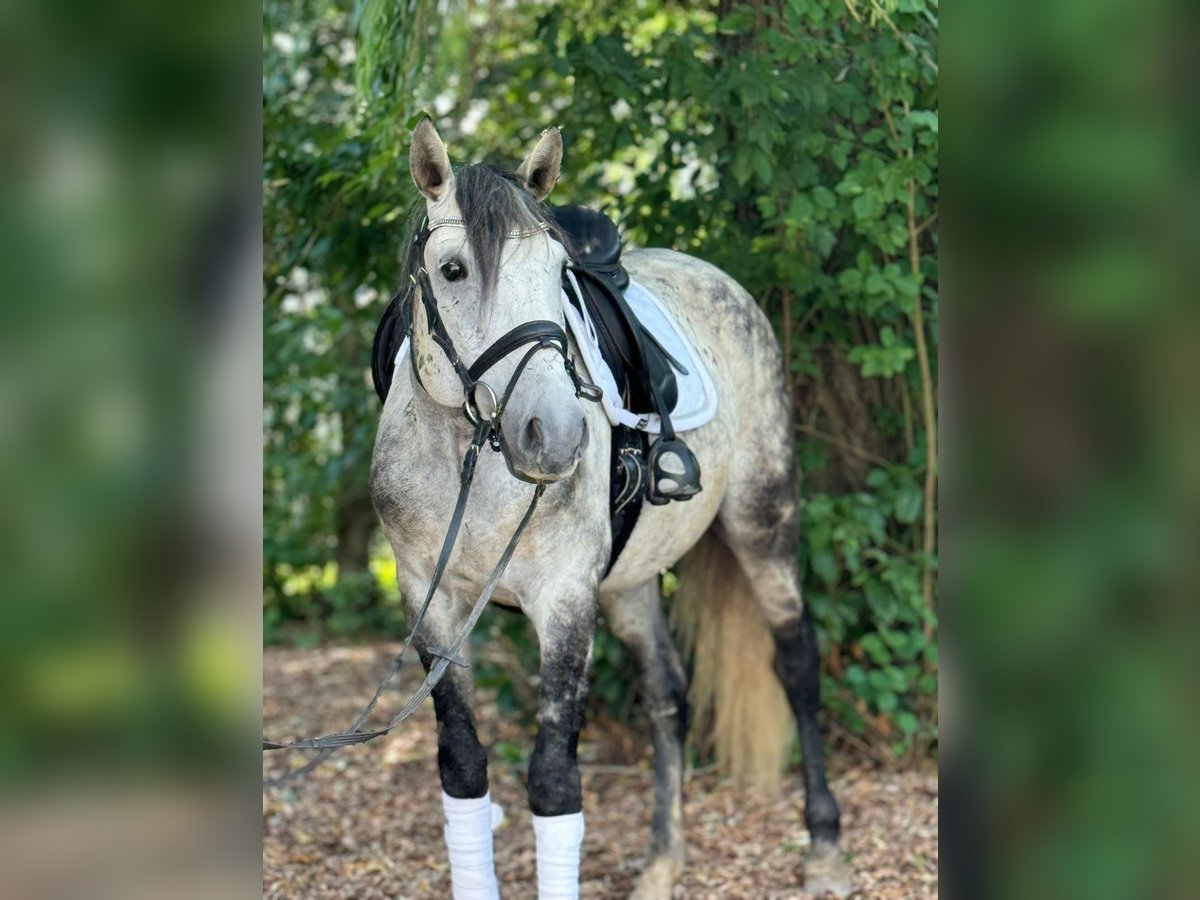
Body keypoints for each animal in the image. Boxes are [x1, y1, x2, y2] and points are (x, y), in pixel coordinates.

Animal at [369, 121, 849, 900]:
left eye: (559, 273)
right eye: (452, 270)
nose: (556, 435)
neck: (470, 456)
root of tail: (717, 278)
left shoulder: (565, 599)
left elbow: (555, 778)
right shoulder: (429, 598)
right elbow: (462, 764)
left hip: (763, 518)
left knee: (798, 663)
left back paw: (826, 846)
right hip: (627, 582)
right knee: (668, 697)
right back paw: (663, 861)